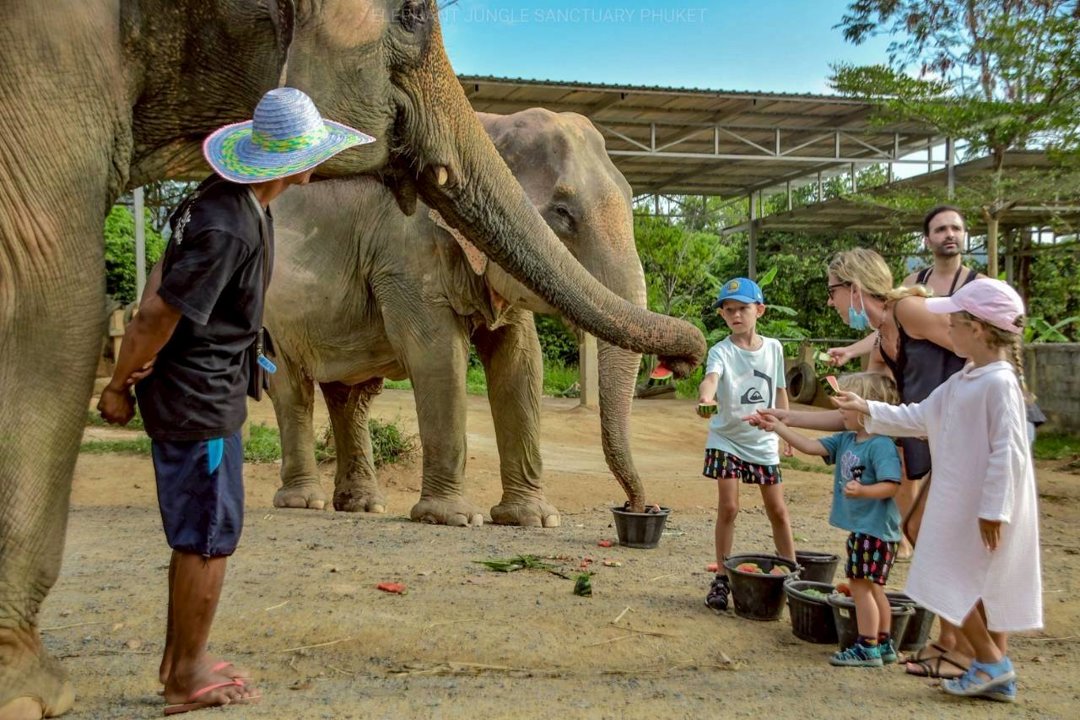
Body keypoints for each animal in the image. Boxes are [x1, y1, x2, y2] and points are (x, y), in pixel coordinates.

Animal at [266, 108, 648, 527]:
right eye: (563, 213)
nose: (637, 507)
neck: (485, 130)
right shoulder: (403, 256)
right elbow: (437, 355)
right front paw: (453, 517)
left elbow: (522, 361)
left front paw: (533, 519)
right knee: (292, 388)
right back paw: (303, 502)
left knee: (353, 396)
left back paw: (364, 506)